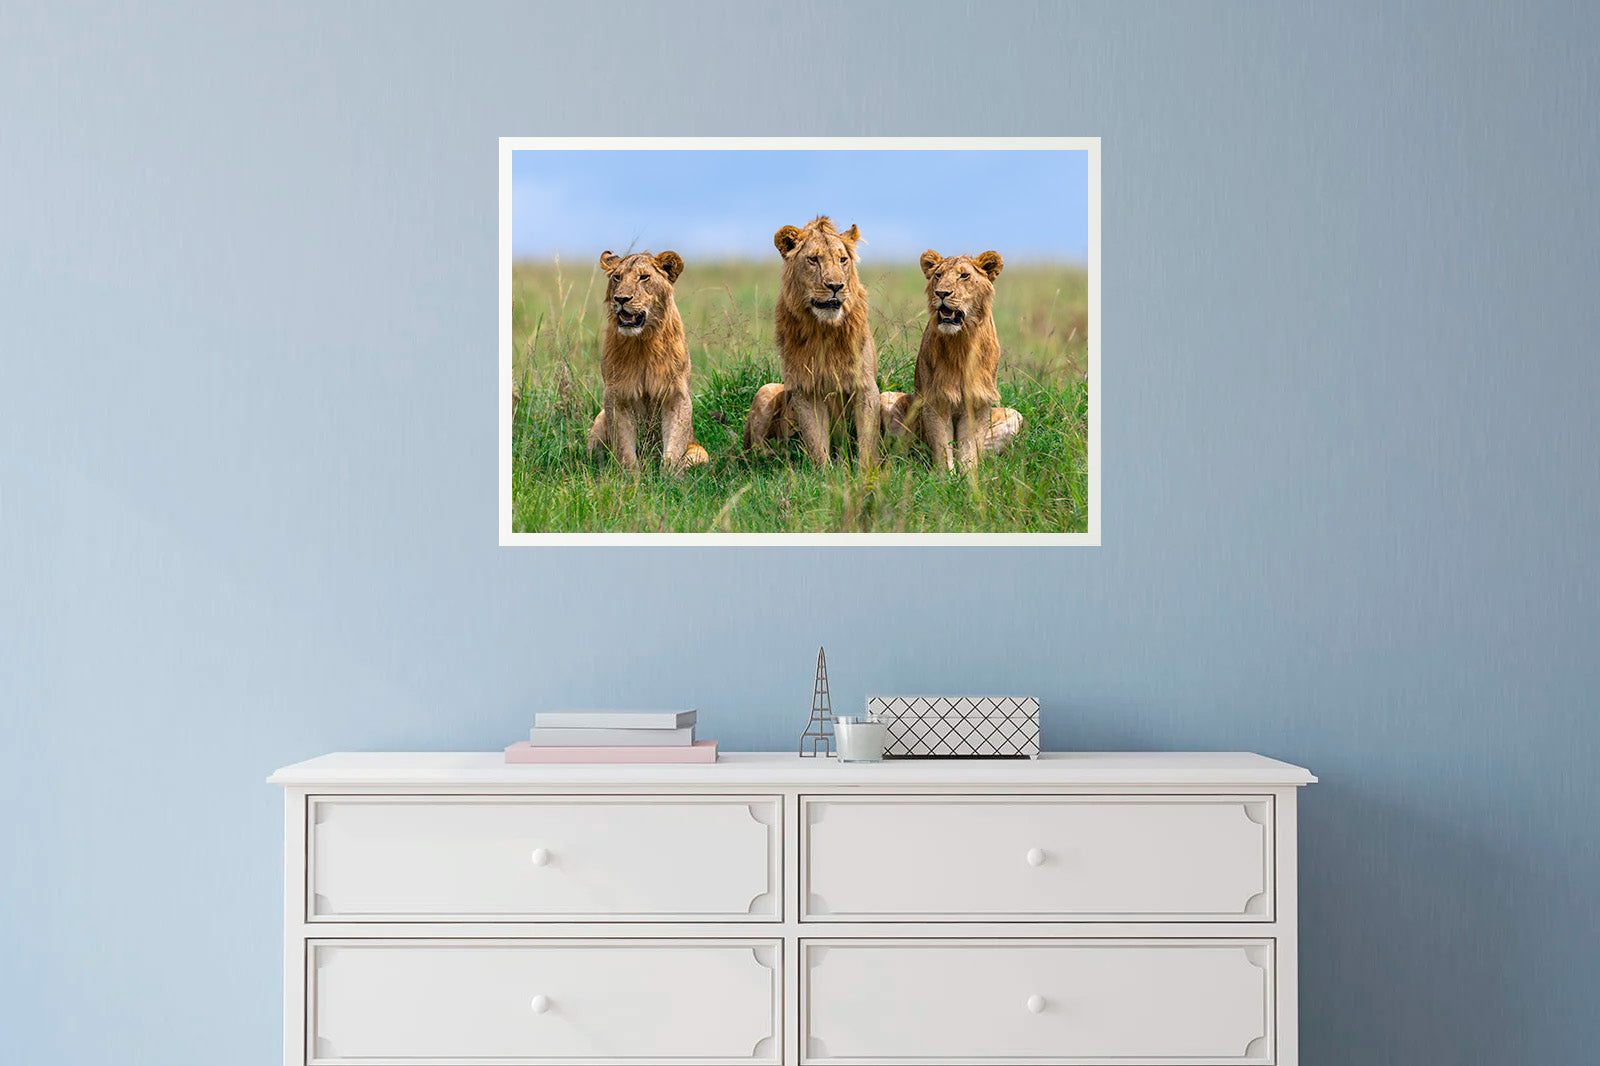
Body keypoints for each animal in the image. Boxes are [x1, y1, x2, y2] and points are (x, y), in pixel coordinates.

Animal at [586, 250, 709, 472]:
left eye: (644, 277)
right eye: (617, 277)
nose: (621, 298)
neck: (642, 343)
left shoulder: (676, 394)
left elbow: (674, 446)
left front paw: (669, 478)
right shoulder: (617, 395)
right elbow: (625, 449)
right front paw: (630, 478)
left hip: (702, 454)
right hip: (599, 421)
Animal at [741, 216, 880, 467]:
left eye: (843, 260)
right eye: (813, 260)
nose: (836, 286)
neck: (824, 329)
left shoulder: (865, 386)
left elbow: (867, 442)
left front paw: (867, 473)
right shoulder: (805, 388)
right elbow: (816, 444)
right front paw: (826, 474)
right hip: (766, 391)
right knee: (754, 452)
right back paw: (780, 456)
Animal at [880, 249, 1024, 471]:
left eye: (964, 276)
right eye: (938, 275)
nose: (941, 293)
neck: (961, 341)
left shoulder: (978, 402)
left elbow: (969, 451)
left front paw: (968, 478)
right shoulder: (935, 400)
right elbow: (942, 448)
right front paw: (947, 477)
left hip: (1015, 416)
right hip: (886, 399)